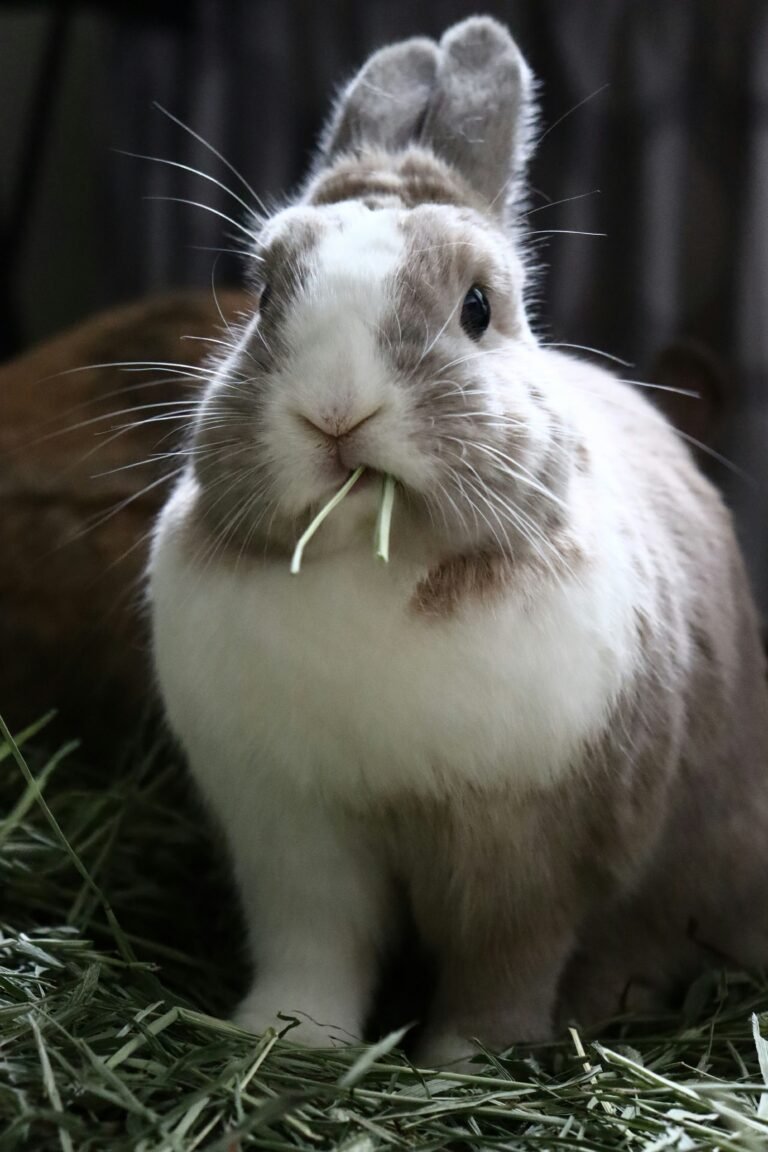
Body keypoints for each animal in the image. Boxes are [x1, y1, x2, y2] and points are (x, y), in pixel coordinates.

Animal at [148, 16, 768, 1066]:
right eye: (265, 295)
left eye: (478, 308)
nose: (336, 412)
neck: (368, 565)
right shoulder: (292, 835)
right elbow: (316, 948)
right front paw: (287, 1037)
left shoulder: (529, 853)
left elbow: (501, 968)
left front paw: (468, 1063)